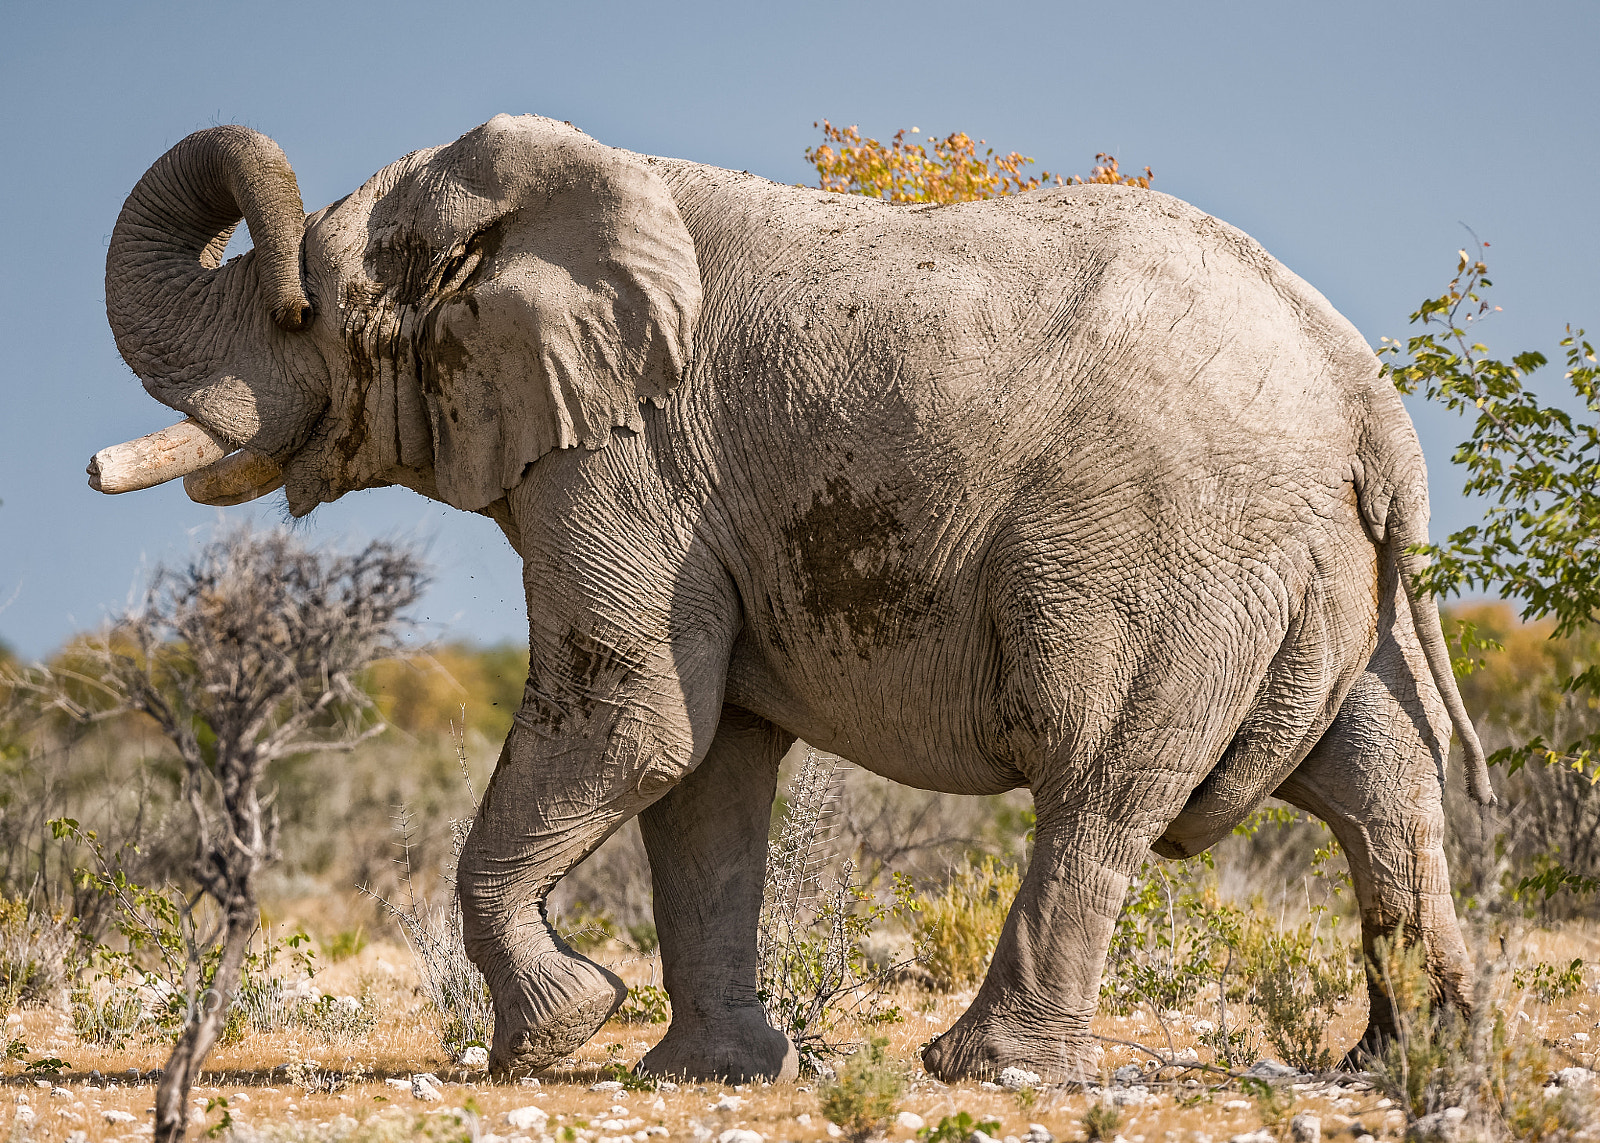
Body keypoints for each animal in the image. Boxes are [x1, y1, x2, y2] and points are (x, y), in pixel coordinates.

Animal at [89, 113, 1493, 1083]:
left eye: (303, 311)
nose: (98, 469)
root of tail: (1365, 396)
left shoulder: (628, 459)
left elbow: (633, 719)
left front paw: (552, 1041)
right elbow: (705, 773)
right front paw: (703, 1075)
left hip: (1161, 555)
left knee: (1098, 784)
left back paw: (986, 1070)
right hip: (1319, 570)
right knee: (1376, 783)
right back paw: (1408, 1063)